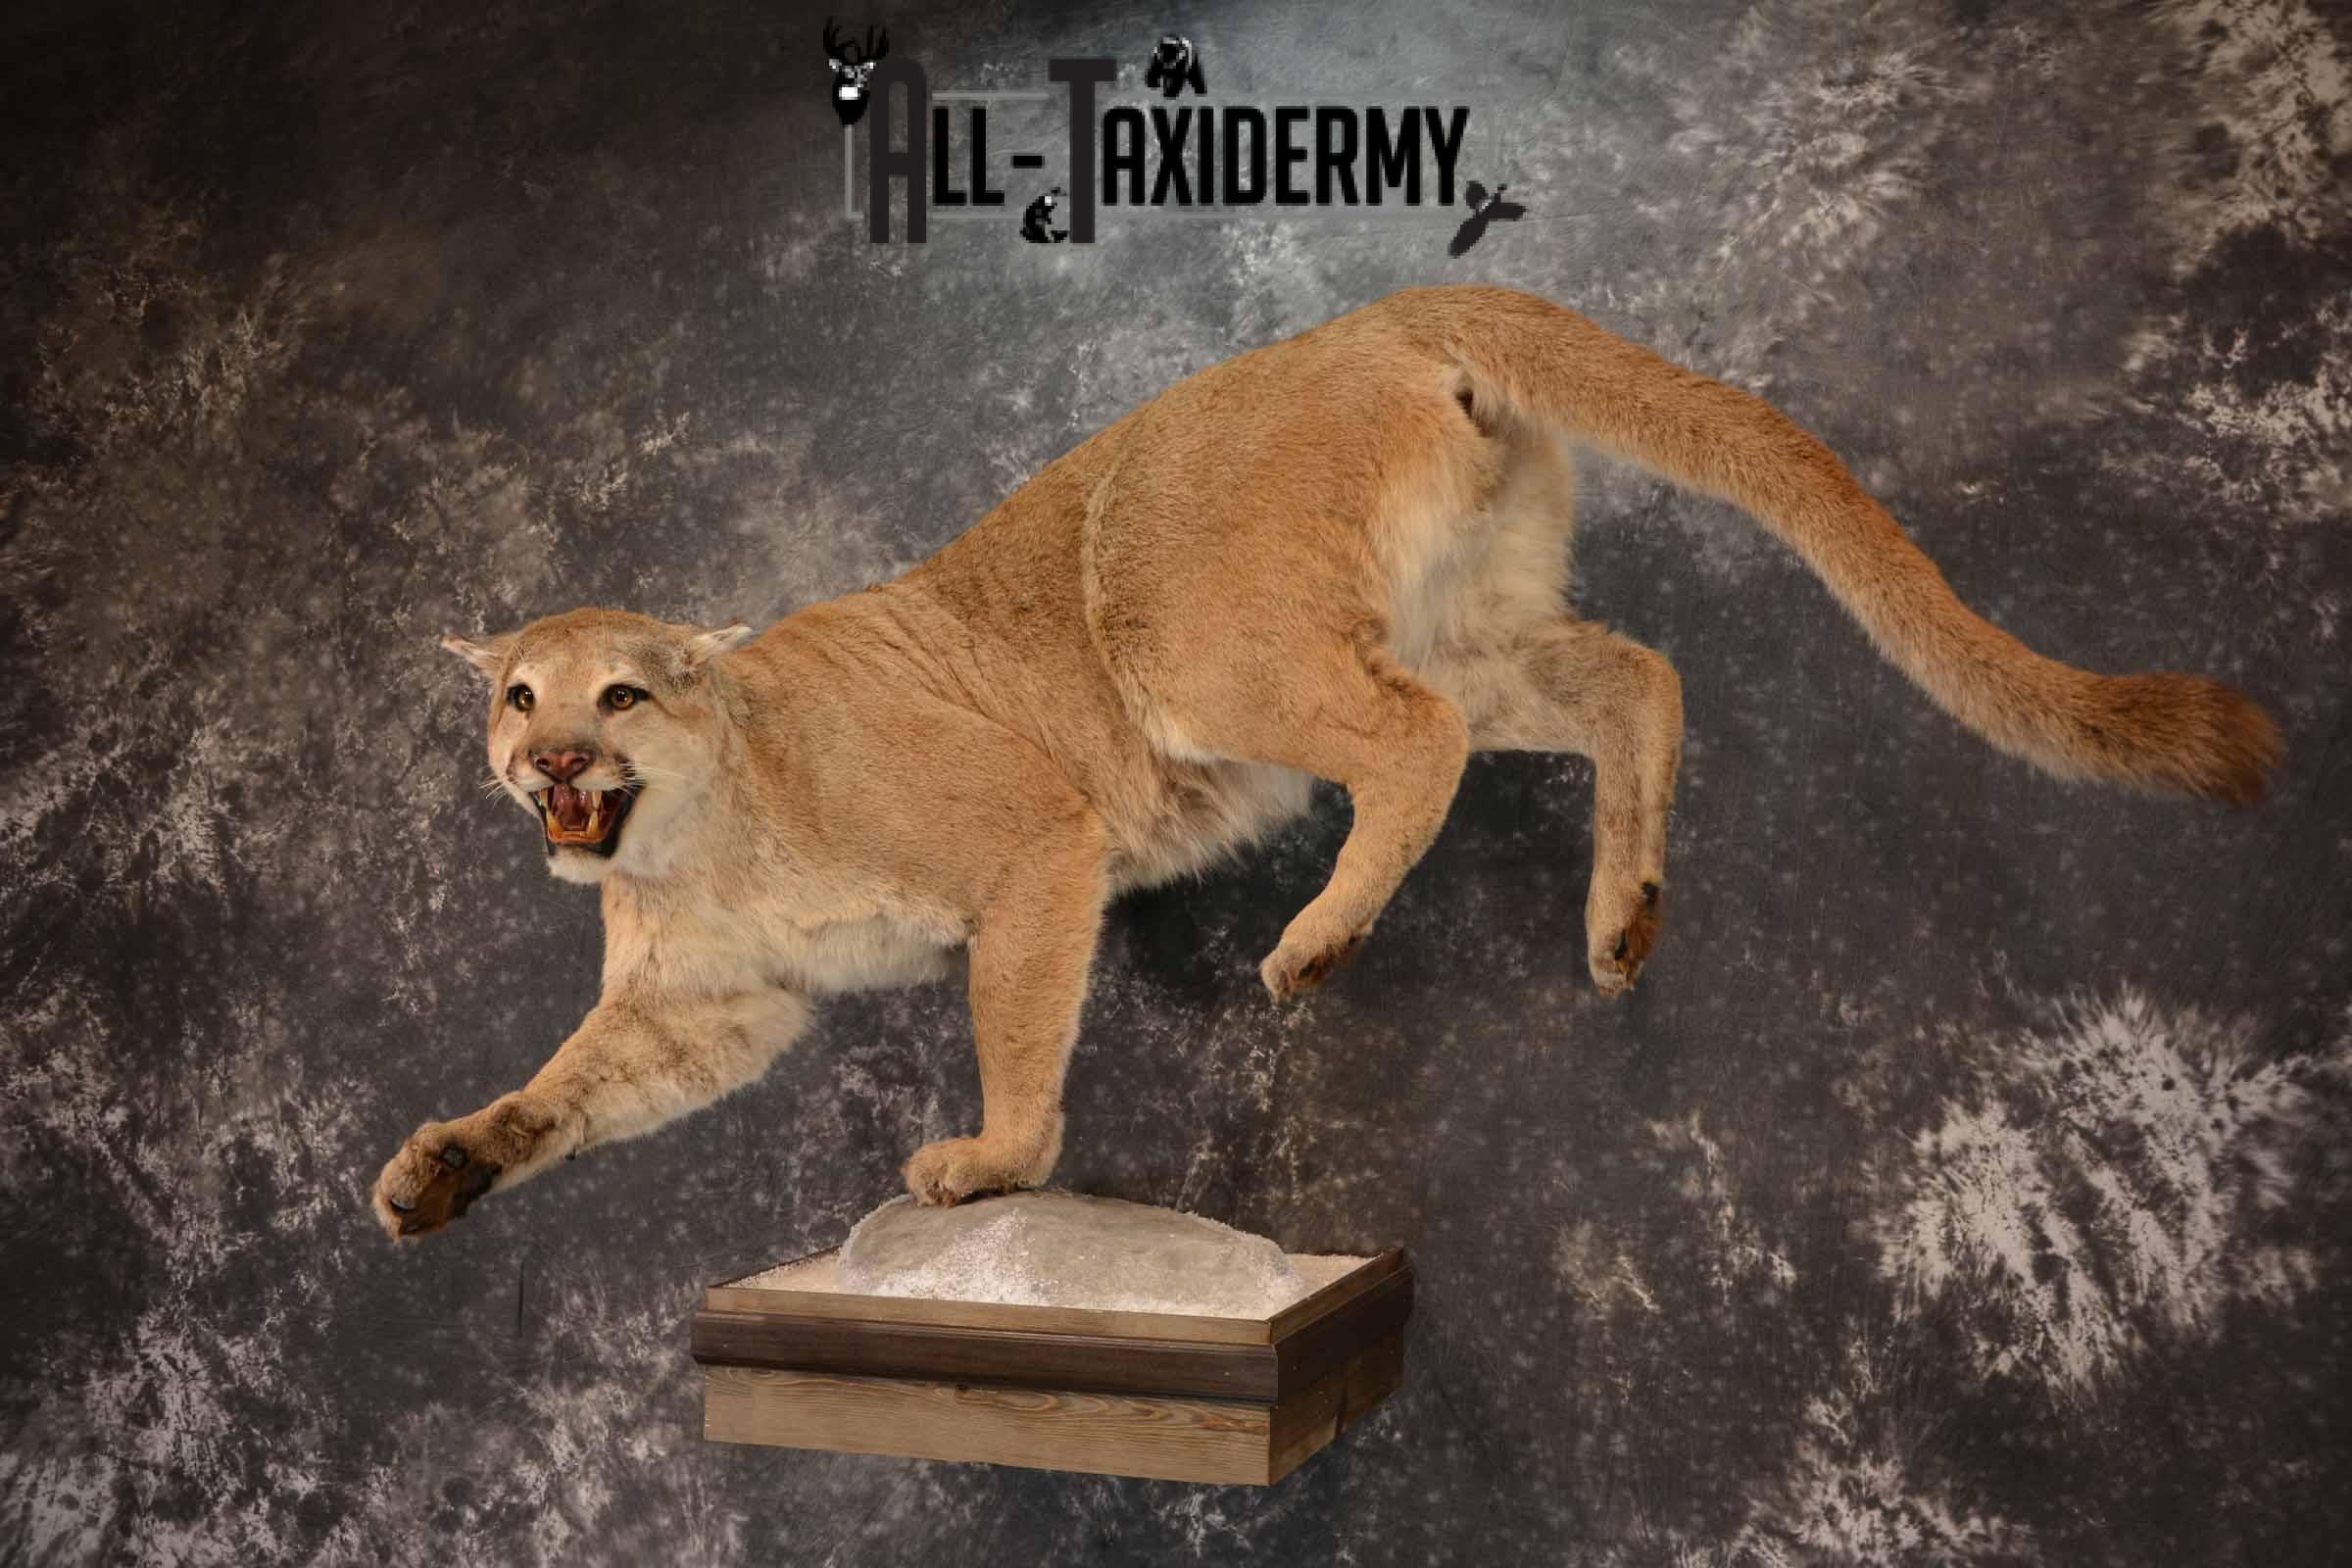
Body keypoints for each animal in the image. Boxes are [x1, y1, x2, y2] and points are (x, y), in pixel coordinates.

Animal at [371, 285, 2280, 1240]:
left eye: (623, 694)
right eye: (514, 696)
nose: (548, 755)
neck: (693, 840)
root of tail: (1364, 314)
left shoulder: (1029, 849)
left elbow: (1014, 1022)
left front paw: (991, 1166)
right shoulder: (714, 1006)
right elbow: (583, 1084)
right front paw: (447, 1164)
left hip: (1194, 642)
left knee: (1415, 743)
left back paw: (1323, 939)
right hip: (1460, 617)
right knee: (1627, 675)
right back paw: (1624, 915)